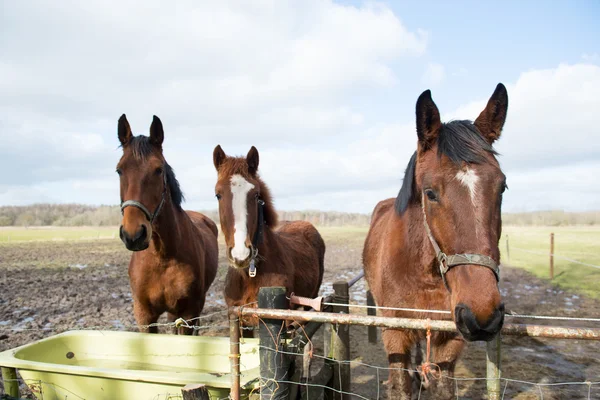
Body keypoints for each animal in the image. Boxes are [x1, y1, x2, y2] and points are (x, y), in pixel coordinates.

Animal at [116, 115, 218, 334]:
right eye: (119, 170)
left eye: (158, 170)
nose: (133, 235)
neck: (162, 256)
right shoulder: (145, 316)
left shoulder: (188, 312)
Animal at [364, 84, 508, 400]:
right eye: (430, 192)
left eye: (502, 186)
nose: (483, 314)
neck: (423, 273)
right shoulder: (395, 334)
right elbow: (401, 385)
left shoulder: (450, 338)